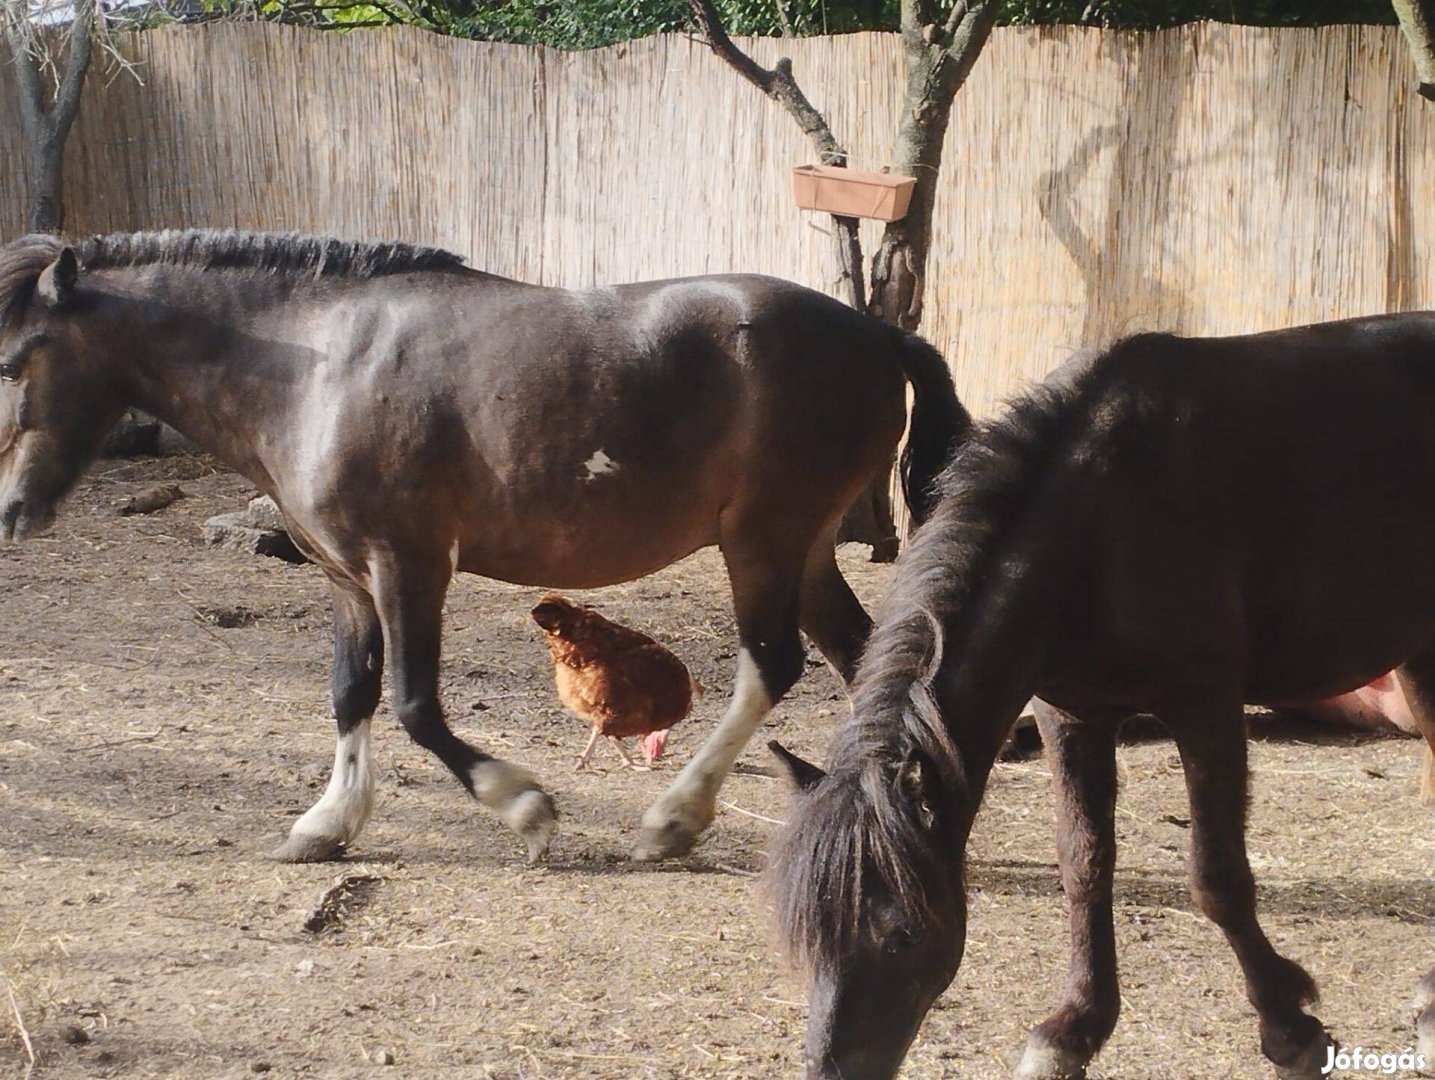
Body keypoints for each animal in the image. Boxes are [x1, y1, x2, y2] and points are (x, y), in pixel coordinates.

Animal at [0, 232, 970, 866]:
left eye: (12, 364)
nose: (11, 510)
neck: (315, 363)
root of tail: (877, 333)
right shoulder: (348, 580)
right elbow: (350, 693)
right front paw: (327, 824)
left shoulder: (409, 566)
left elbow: (414, 705)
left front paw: (526, 808)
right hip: (803, 549)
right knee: (857, 655)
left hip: (762, 540)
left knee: (773, 666)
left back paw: (673, 820)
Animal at [780, 315, 1435, 1072]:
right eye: (807, 939)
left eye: (903, 935)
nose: (832, 1070)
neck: (1098, 525)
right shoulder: (1071, 716)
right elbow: (1084, 866)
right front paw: (1071, 1029)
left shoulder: (1205, 708)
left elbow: (1216, 877)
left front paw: (1288, 1026)